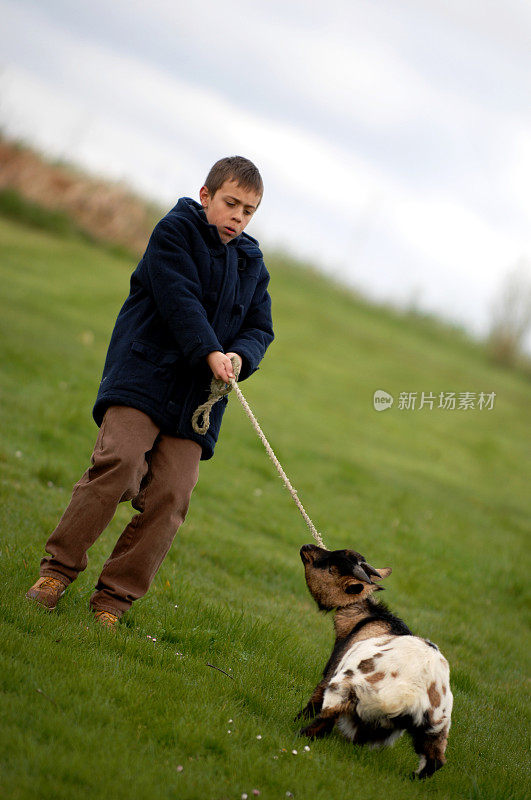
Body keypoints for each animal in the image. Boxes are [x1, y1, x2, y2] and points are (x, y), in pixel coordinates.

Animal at [300, 540, 454, 780]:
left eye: (330, 567)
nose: (306, 546)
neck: (368, 618)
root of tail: (410, 694)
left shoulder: (332, 671)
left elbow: (314, 700)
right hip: (437, 725)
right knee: (435, 760)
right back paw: (412, 779)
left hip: (346, 687)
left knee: (327, 717)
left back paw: (301, 734)